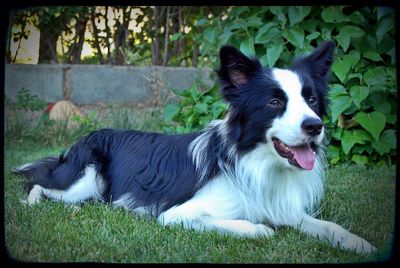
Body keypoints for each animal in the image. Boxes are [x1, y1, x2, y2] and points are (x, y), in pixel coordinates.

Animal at [13, 41, 376, 253]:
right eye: (275, 102)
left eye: (311, 100)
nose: (315, 127)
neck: (256, 160)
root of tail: (88, 135)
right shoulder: (175, 215)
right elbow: (253, 228)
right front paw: (260, 228)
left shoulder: (284, 207)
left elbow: (327, 226)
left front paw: (358, 243)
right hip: (82, 181)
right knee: (37, 184)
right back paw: (40, 203)